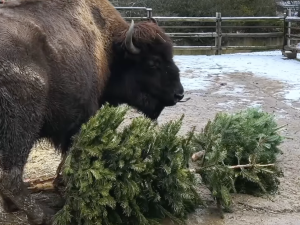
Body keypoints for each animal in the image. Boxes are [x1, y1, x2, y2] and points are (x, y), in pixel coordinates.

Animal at [0, 0, 184, 225]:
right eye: (153, 62)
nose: (179, 93)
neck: (108, 45)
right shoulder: (80, 120)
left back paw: (13, 207)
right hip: (23, 124)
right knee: (10, 176)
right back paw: (43, 215)